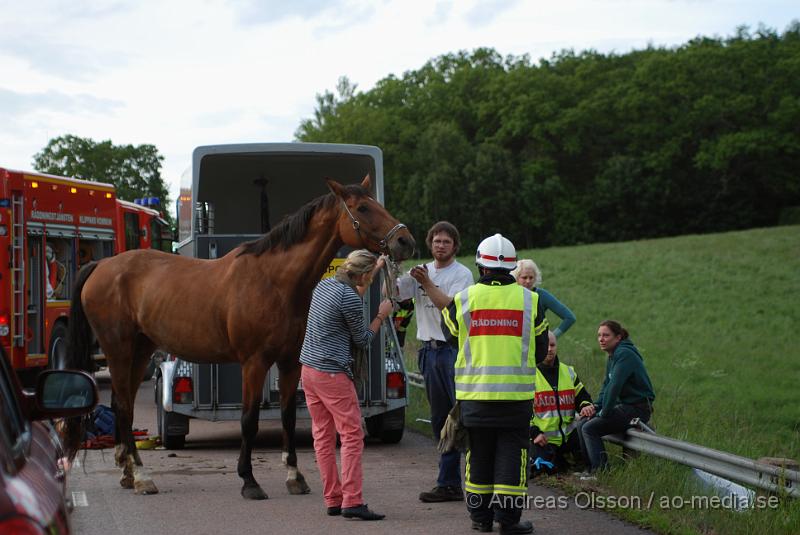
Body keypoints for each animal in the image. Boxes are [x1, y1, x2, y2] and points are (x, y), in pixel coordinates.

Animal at [63, 176, 416, 498]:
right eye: (363, 208)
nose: (405, 241)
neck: (275, 281)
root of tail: (101, 266)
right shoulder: (254, 363)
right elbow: (249, 419)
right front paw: (249, 480)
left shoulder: (290, 363)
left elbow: (288, 416)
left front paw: (295, 476)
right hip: (120, 351)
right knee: (123, 405)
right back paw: (140, 476)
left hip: (139, 352)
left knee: (122, 404)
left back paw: (127, 472)